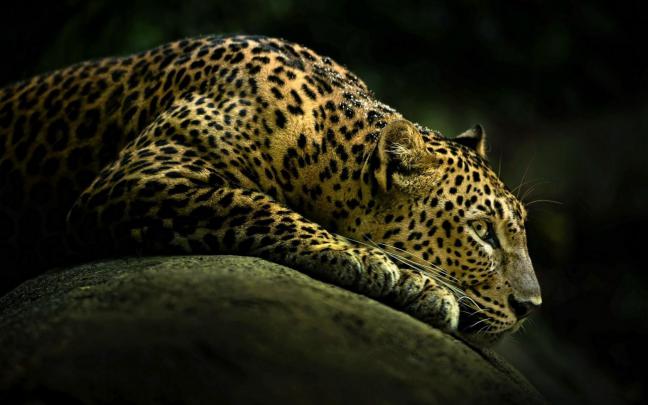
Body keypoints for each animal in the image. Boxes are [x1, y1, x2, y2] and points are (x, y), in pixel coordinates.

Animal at [0, 35, 541, 346]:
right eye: (482, 232)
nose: (531, 308)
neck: (321, 147)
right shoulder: (145, 172)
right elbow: (254, 203)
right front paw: (376, 265)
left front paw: (416, 284)